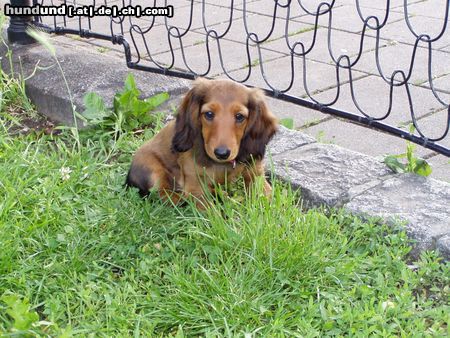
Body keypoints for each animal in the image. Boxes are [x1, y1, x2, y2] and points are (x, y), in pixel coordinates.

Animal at [124, 78, 278, 207]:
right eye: (209, 114)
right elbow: (210, 211)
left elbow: (266, 197)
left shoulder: (256, 173)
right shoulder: (194, 184)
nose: (222, 153)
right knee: (162, 193)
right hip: (153, 169)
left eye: (240, 116)